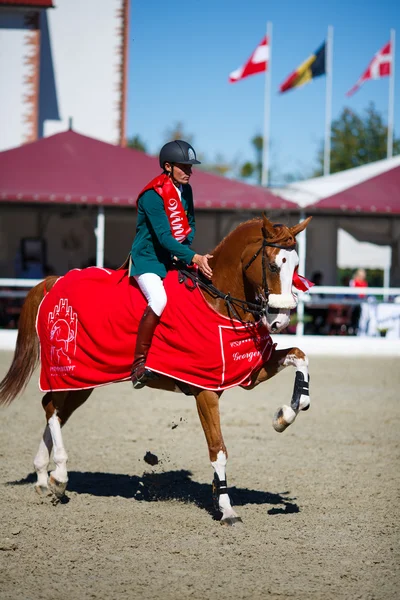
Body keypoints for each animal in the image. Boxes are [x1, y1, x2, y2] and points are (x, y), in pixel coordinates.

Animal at [0, 213, 312, 524]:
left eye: (296, 266)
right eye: (273, 265)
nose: (281, 320)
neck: (216, 301)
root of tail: (55, 282)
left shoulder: (249, 370)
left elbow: (300, 357)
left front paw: (285, 415)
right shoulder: (205, 391)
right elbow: (218, 449)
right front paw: (226, 509)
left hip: (84, 380)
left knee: (53, 409)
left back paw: (43, 477)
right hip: (70, 371)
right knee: (52, 409)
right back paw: (60, 475)